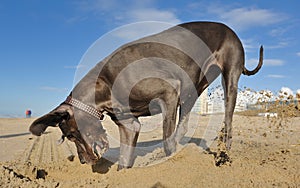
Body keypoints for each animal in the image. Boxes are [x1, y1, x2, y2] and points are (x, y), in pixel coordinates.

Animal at [28, 21, 262, 170]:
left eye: (72, 135)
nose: (84, 162)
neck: (106, 81)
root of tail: (230, 29)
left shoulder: (169, 92)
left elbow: (167, 142)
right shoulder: (129, 125)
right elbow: (125, 159)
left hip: (228, 79)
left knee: (227, 121)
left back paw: (224, 155)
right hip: (192, 88)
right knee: (184, 125)